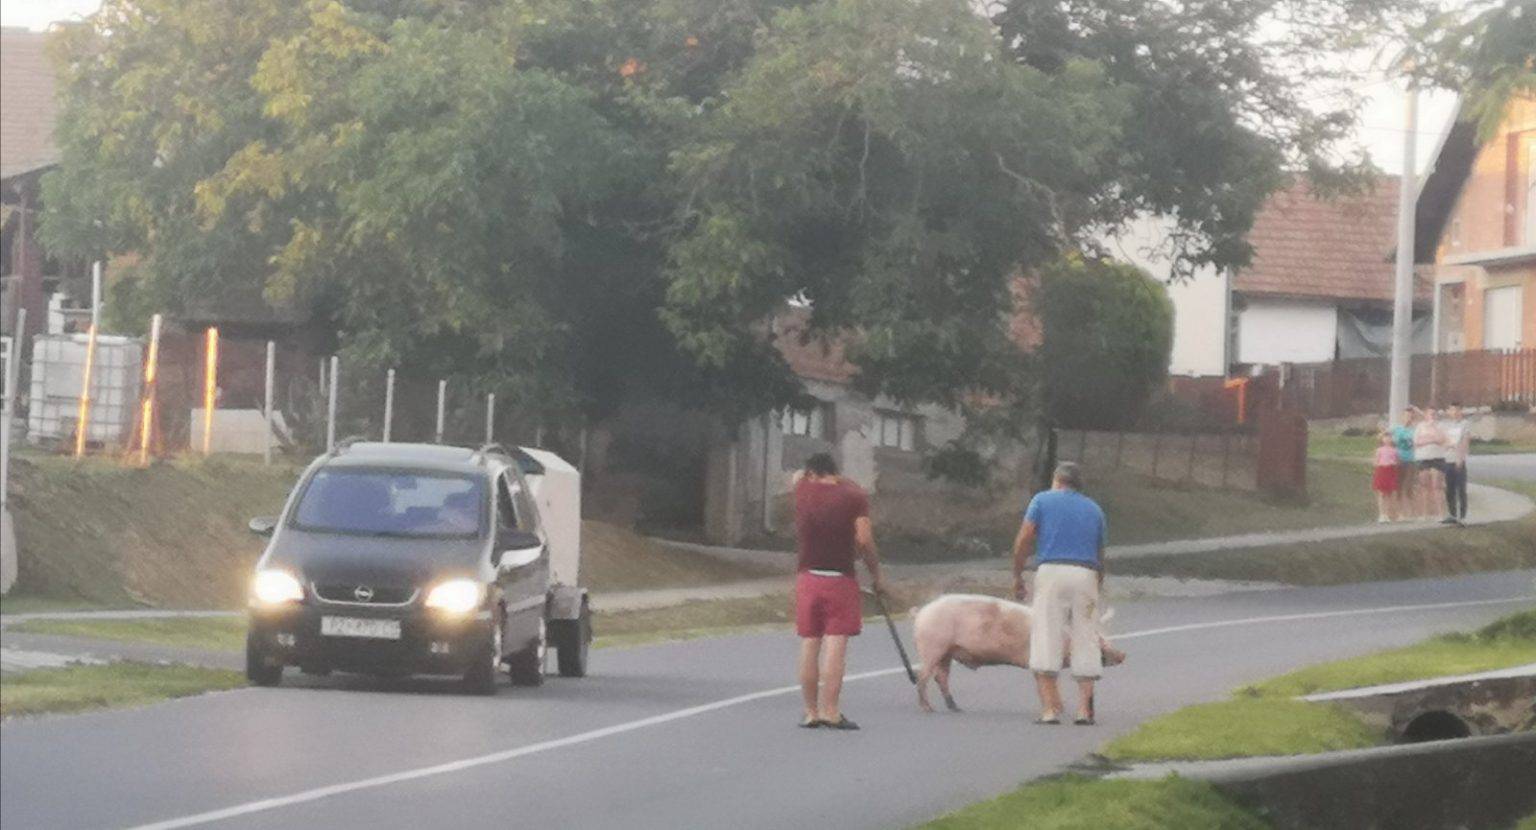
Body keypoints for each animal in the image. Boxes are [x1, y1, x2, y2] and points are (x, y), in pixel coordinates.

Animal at [903, 590, 1124, 713]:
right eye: (1099, 642)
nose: (1123, 655)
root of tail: (921, 612)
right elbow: (1045, 683)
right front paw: (1056, 709)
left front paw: (1060, 708)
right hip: (932, 647)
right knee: (922, 676)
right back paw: (928, 709)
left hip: (946, 651)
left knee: (940, 677)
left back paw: (956, 708)